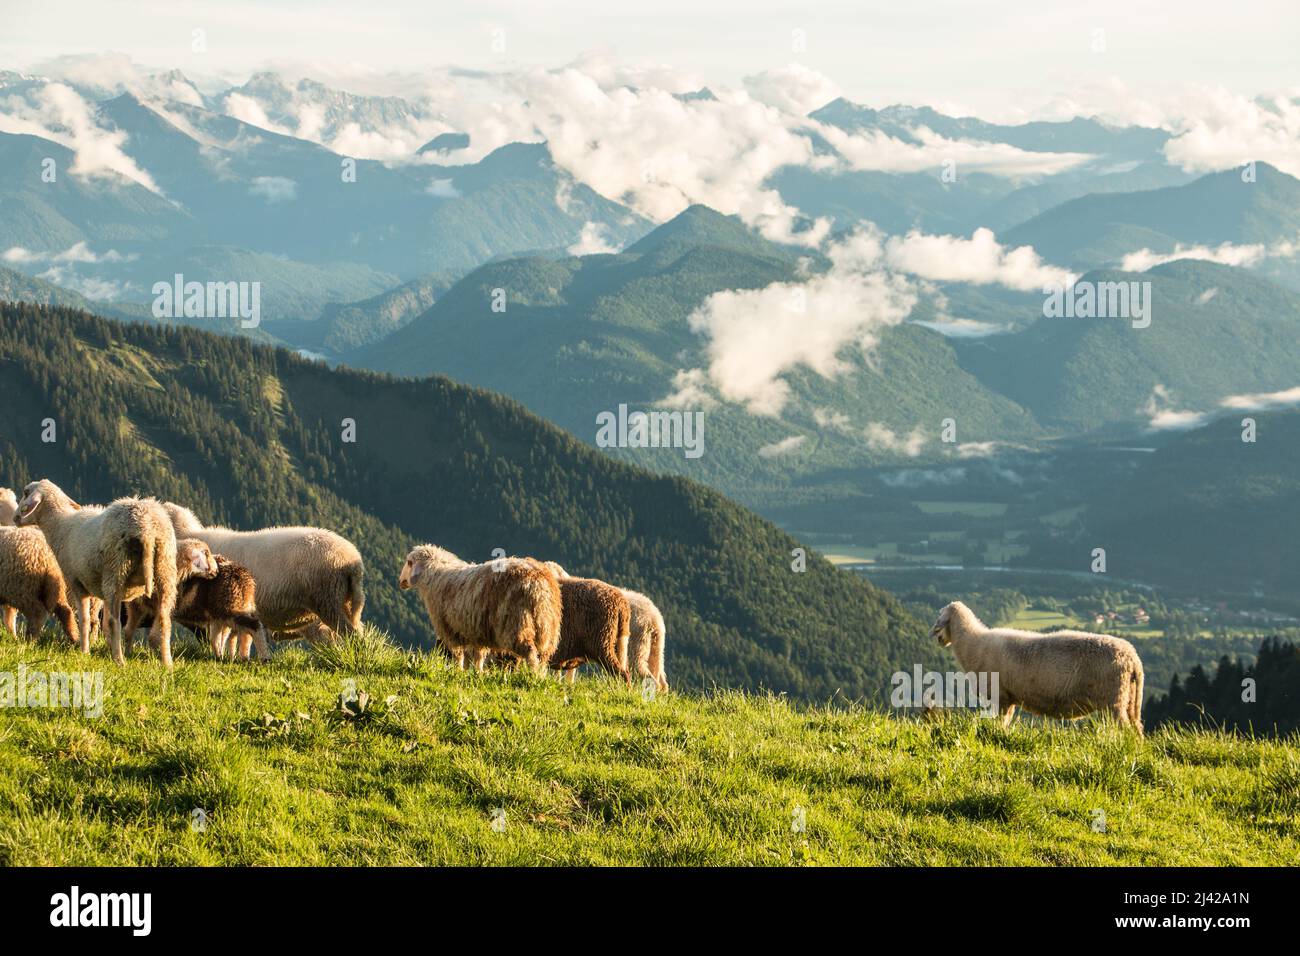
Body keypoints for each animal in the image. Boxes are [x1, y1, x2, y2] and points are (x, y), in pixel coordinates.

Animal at [15, 478, 179, 665]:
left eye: (26, 493)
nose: (15, 518)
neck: (61, 526)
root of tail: (146, 528)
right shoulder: (100, 592)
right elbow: (100, 622)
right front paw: (104, 649)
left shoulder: (77, 584)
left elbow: (85, 620)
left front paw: (84, 651)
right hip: (165, 568)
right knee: (164, 619)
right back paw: (167, 664)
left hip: (116, 569)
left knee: (114, 621)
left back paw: (119, 660)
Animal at [395, 546, 559, 671]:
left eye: (409, 563)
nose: (400, 581)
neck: (435, 576)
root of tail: (539, 585)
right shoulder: (476, 631)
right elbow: (478, 656)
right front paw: (476, 673)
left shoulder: (450, 629)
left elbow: (458, 655)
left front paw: (458, 671)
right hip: (548, 629)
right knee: (543, 656)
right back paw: (541, 675)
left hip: (518, 624)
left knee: (530, 653)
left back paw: (533, 675)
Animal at [930, 598, 1144, 738]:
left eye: (941, 618)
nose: (938, 639)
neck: (973, 643)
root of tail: (1133, 658)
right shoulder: (1009, 697)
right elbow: (1005, 721)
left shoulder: (1001, 696)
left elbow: (1000, 721)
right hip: (1128, 699)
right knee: (1137, 728)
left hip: (1113, 701)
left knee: (1126, 729)